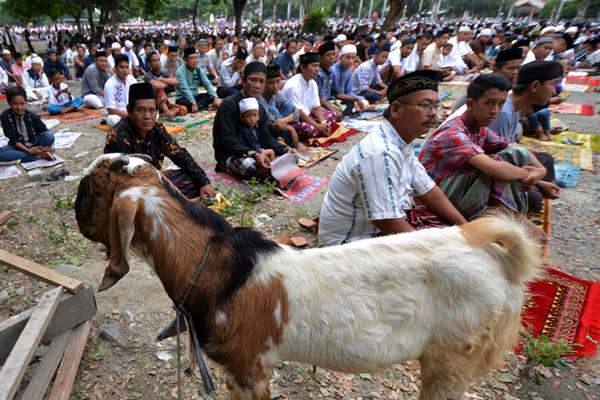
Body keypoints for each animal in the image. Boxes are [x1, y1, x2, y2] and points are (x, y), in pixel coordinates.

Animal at [76, 154, 544, 400]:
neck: (217, 271)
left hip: (452, 357)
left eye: (94, 191)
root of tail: (501, 259)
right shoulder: (233, 371)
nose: (77, 216)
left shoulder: (252, 366)